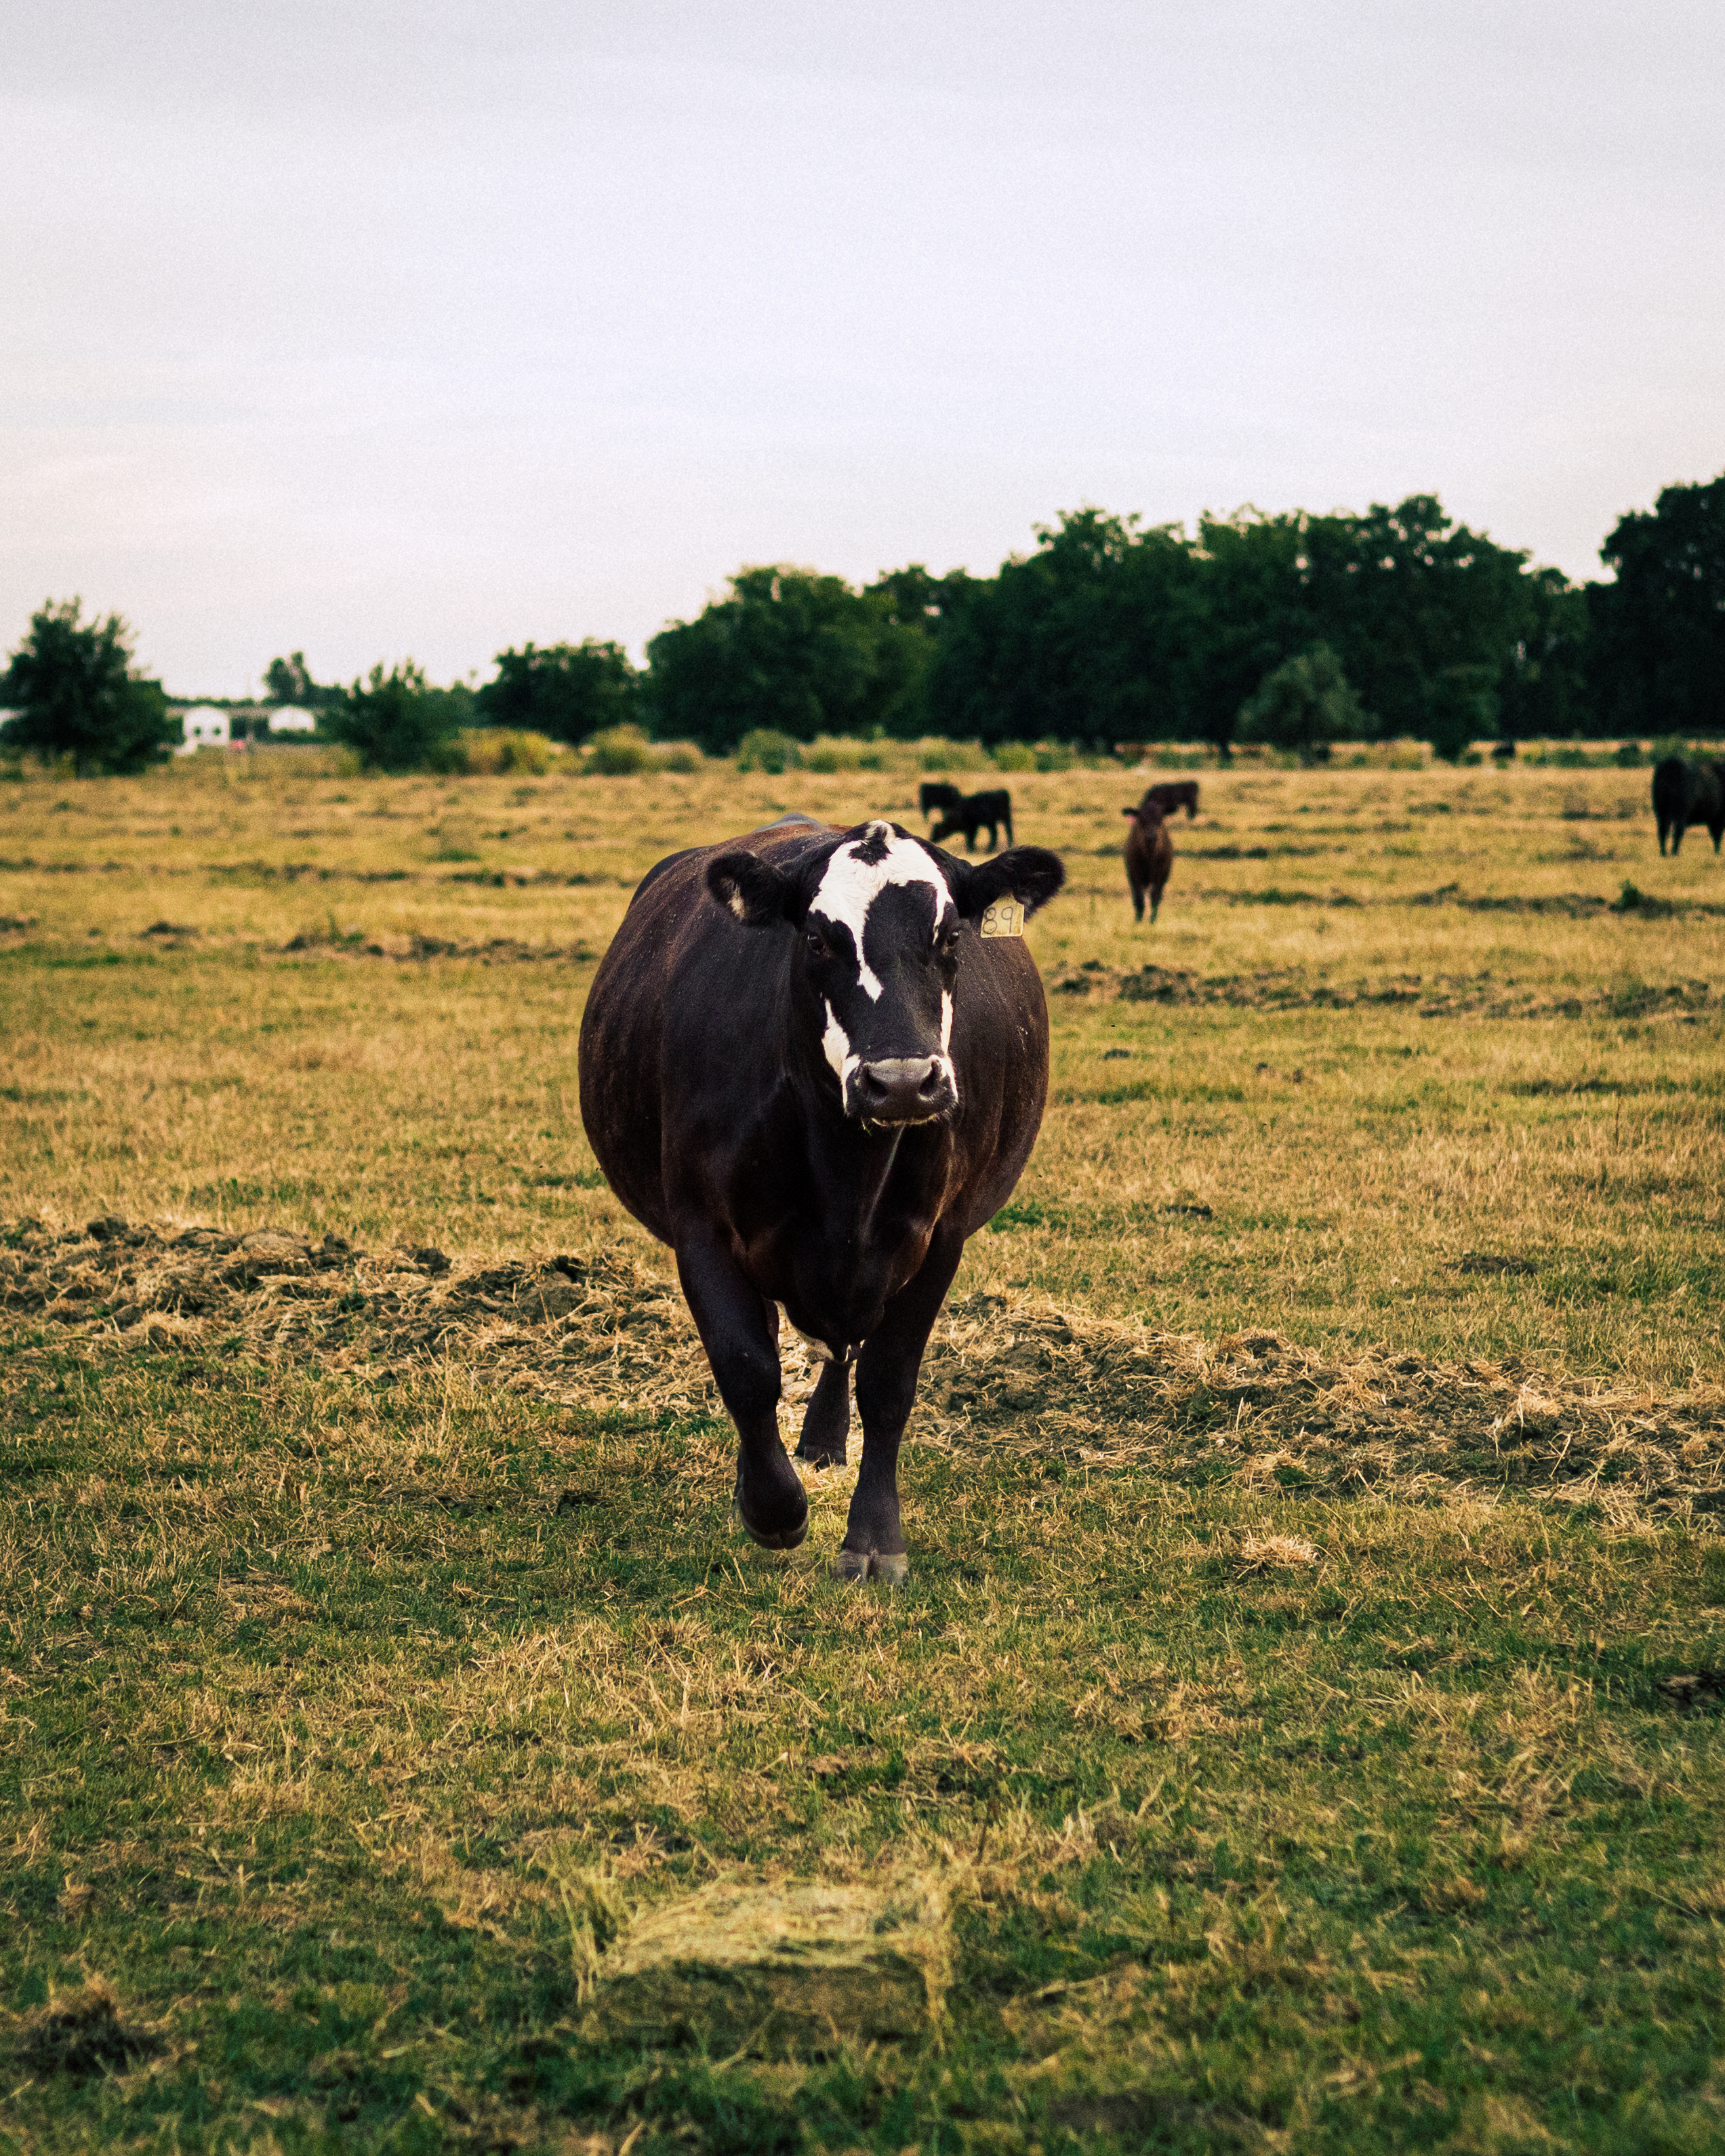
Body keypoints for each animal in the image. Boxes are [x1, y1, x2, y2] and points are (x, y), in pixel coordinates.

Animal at [578, 817, 1065, 1585]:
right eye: (815, 939)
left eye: (950, 937)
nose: (902, 1080)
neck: (847, 1174)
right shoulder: (703, 1229)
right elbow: (746, 1367)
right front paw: (772, 1507)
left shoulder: (940, 1237)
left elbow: (888, 1383)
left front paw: (874, 1537)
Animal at [1123, 798, 1174, 923]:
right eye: (1141, 819)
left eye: (1160, 818)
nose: (1151, 836)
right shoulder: (1135, 874)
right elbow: (1139, 898)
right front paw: (1138, 921)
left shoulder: (1160, 875)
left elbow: (1155, 897)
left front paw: (1152, 921)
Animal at [1653, 756, 1725, 855]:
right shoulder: (1719, 818)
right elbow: (1717, 835)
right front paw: (1717, 852)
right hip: (1679, 813)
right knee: (1677, 831)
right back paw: (1675, 852)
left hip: (1662, 812)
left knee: (1663, 830)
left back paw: (1664, 853)